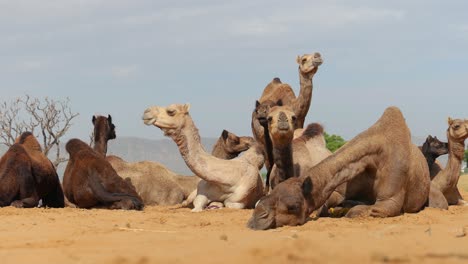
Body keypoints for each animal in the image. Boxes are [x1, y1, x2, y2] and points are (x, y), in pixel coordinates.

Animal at [249, 106, 432, 230]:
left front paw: (345, 210)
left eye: (292, 207)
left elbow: (363, 210)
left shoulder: (388, 201)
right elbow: (332, 197)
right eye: (273, 189)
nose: (256, 217)